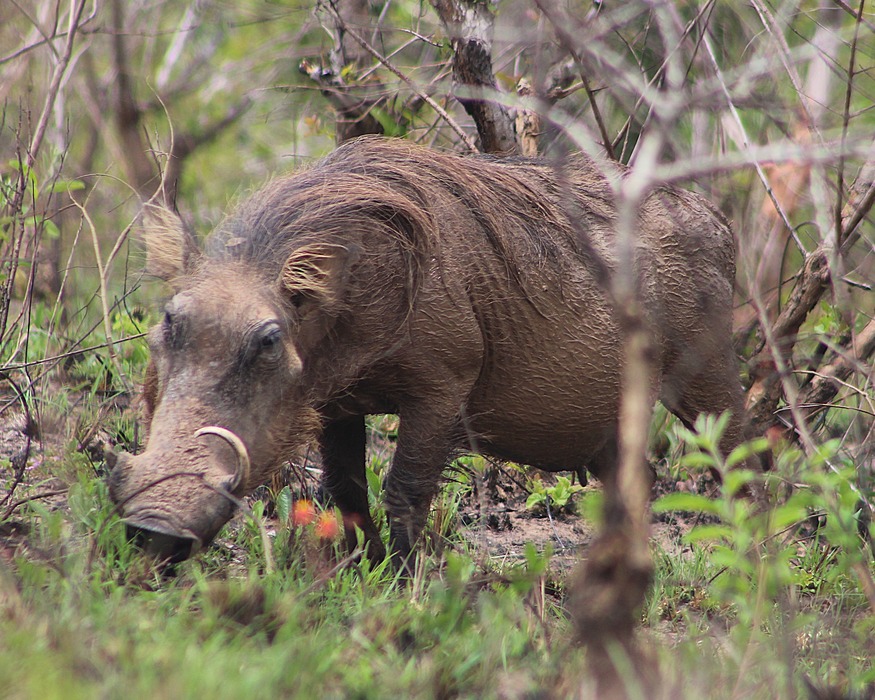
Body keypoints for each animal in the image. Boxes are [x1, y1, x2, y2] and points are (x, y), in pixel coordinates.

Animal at [107, 136, 753, 567]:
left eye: (268, 341)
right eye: (170, 320)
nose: (153, 526)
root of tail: (719, 220)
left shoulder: (443, 386)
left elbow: (405, 489)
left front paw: (402, 578)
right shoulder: (338, 402)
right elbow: (346, 488)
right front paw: (360, 567)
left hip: (709, 378)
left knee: (744, 457)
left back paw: (756, 557)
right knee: (636, 477)